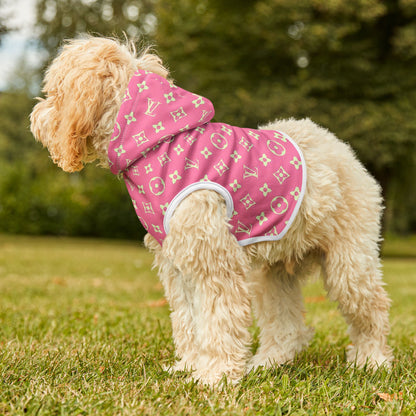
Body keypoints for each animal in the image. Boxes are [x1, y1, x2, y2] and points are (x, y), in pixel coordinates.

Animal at [30, 37, 394, 386]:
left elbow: (218, 320)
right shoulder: (178, 264)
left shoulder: (214, 261)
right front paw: (191, 366)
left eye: (54, 92)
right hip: (273, 273)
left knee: (372, 310)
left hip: (349, 263)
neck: (157, 144)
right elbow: (188, 320)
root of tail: (340, 148)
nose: (35, 117)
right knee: (287, 326)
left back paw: (372, 360)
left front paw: (215, 375)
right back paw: (268, 362)